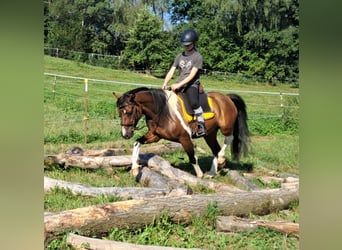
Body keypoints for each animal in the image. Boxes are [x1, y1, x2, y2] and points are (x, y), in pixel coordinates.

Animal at [113, 87, 250, 177]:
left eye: (129, 111)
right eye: (120, 112)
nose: (125, 134)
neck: (162, 111)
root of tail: (227, 97)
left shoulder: (184, 138)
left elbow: (192, 158)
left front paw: (199, 176)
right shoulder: (155, 136)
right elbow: (137, 143)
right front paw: (135, 168)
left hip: (225, 127)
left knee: (229, 138)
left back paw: (221, 159)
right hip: (210, 134)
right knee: (215, 149)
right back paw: (212, 172)